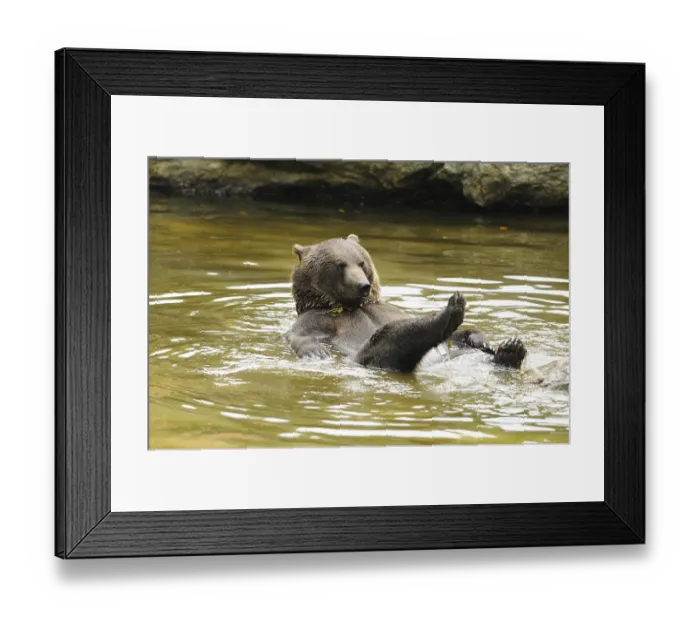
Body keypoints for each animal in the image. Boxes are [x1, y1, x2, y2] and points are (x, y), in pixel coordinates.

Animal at [287, 234, 527, 373]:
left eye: (361, 262)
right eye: (340, 265)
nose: (363, 286)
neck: (347, 306)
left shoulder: (386, 307)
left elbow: (463, 336)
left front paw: (482, 340)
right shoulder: (319, 319)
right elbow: (301, 336)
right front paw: (317, 351)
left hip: (458, 357)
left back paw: (510, 349)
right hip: (371, 354)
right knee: (394, 335)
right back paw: (451, 312)